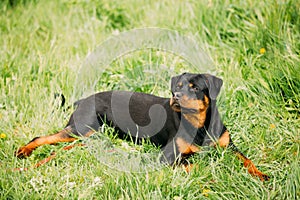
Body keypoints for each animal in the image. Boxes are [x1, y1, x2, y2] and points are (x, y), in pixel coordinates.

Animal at [15, 72, 270, 180]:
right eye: (177, 86)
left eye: (195, 87)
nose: (176, 96)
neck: (200, 125)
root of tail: (83, 100)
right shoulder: (168, 157)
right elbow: (195, 166)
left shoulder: (229, 146)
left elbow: (247, 160)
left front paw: (262, 176)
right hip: (80, 129)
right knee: (42, 138)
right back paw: (23, 152)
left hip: (92, 138)